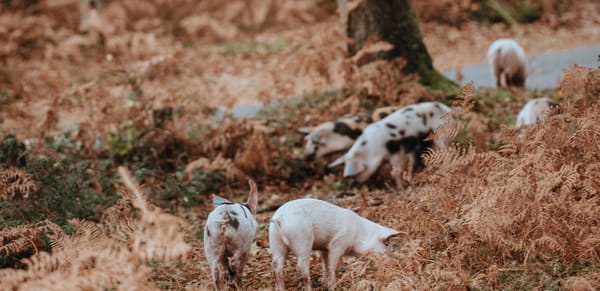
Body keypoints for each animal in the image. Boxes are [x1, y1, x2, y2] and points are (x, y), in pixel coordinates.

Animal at [270, 198, 400, 291]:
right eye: (386, 244)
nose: (393, 264)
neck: (359, 235)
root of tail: (281, 217)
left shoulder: (324, 247)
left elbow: (325, 265)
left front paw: (324, 283)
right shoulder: (337, 244)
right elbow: (333, 266)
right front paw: (332, 286)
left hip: (275, 241)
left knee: (276, 265)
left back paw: (280, 289)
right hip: (302, 239)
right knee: (301, 266)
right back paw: (310, 288)